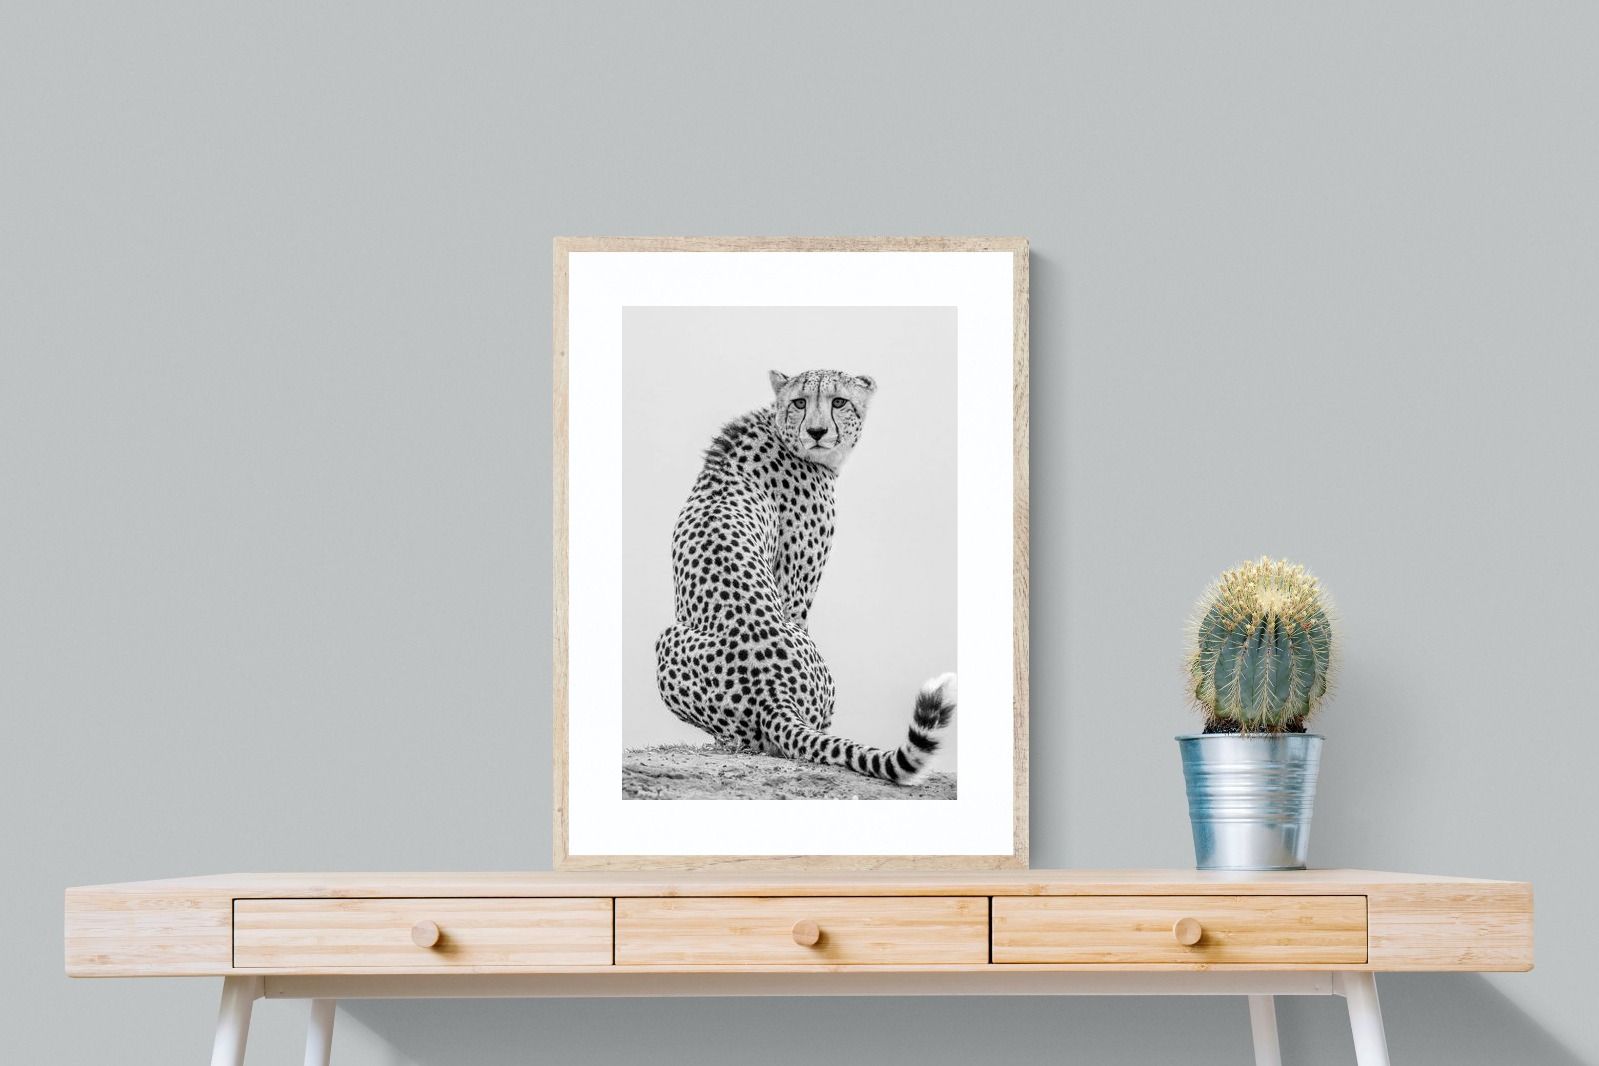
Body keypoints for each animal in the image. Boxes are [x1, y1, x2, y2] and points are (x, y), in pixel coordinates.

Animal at [653, 368, 956, 786]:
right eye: (800, 402)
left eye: (838, 401)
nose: (816, 431)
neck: (779, 430)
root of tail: (773, 692)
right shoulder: (796, 589)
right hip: (671, 639)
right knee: (762, 740)